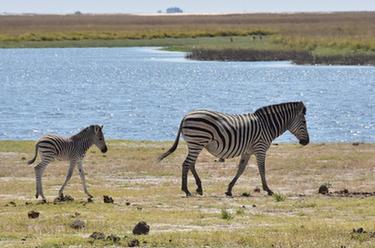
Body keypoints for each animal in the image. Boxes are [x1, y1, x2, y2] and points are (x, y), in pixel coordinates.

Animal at [157, 101, 310, 197]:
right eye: (304, 122)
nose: (306, 142)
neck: (268, 125)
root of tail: (186, 116)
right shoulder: (260, 148)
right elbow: (262, 169)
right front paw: (268, 189)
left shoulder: (248, 151)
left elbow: (241, 169)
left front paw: (229, 190)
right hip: (197, 141)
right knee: (186, 164)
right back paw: (186, 190)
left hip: (196, 144)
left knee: (191, 164)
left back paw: (199, 188)